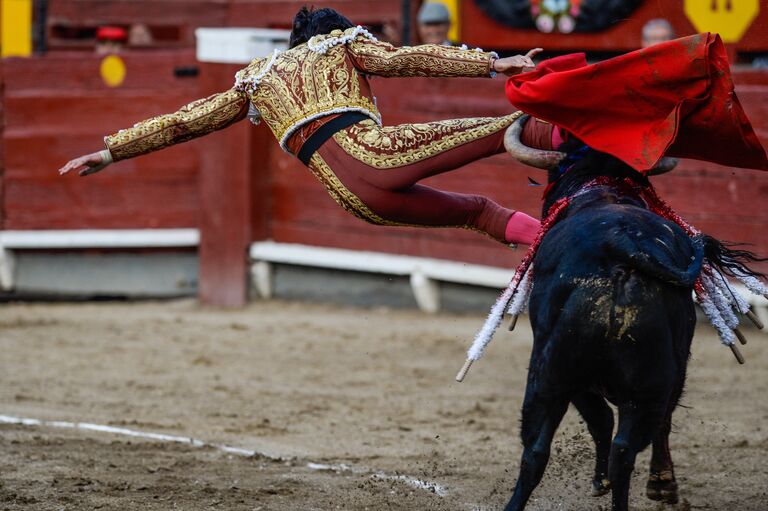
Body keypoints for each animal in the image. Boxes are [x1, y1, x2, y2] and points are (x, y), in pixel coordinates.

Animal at [504, 146, 704, 510]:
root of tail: (621, 248)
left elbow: (598, 420)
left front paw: (601, 481)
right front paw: (660, 483)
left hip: (551, 374)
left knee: (536, 447)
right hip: (650, 383)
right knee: (628, 447)